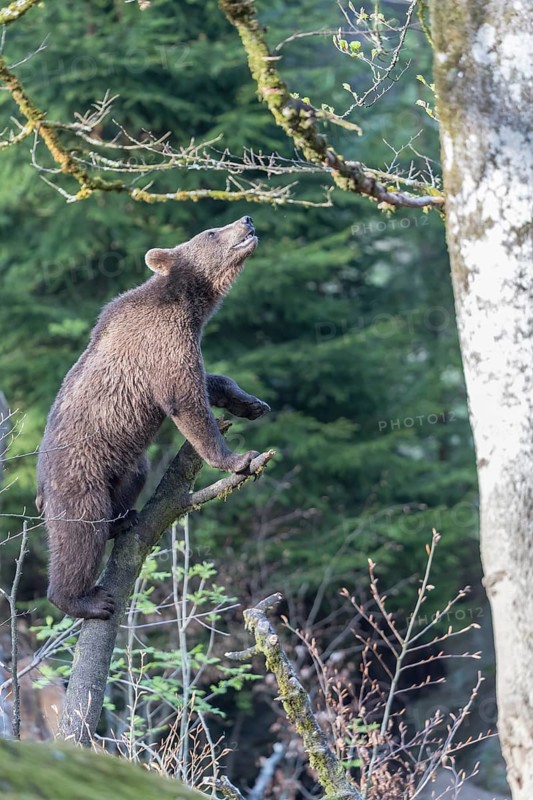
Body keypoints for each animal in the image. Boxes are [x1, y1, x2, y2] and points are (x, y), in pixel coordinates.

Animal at [36, 216, 269, 621]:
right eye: (211, 232)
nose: (246, 219)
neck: (191, 304)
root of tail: (39, 486)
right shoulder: (163, 339)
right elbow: (184, 399)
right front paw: (237, 458)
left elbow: (208, 381)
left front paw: (250, 403)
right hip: (78, 473)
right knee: (80, 532)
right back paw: (83, 598)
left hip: (122, 462)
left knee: (135, 476)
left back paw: (123, 520)